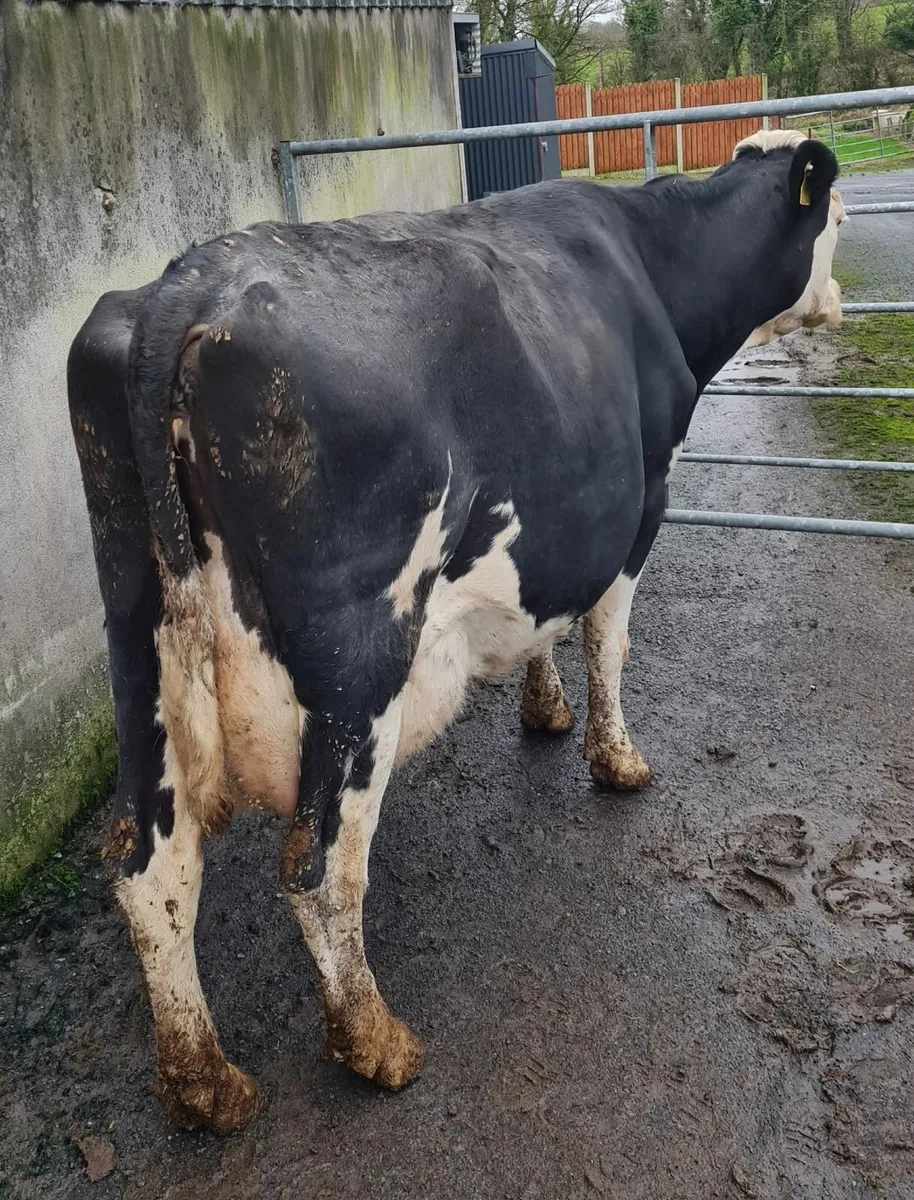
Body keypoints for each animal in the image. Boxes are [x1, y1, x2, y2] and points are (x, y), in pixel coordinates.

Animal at [67, 128, 841, 1134]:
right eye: (840, 214)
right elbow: (608, 638)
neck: (653, 263)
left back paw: (204, 1083)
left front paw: (545, 710)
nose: (835, 299)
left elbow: (542, 619)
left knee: (147, 865)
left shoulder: (554, 524)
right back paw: (375, 1042)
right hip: (358, 664)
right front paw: (617, 759)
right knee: (320, 869)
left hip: (138, 645)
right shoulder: (637, 508)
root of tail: (185, 285)